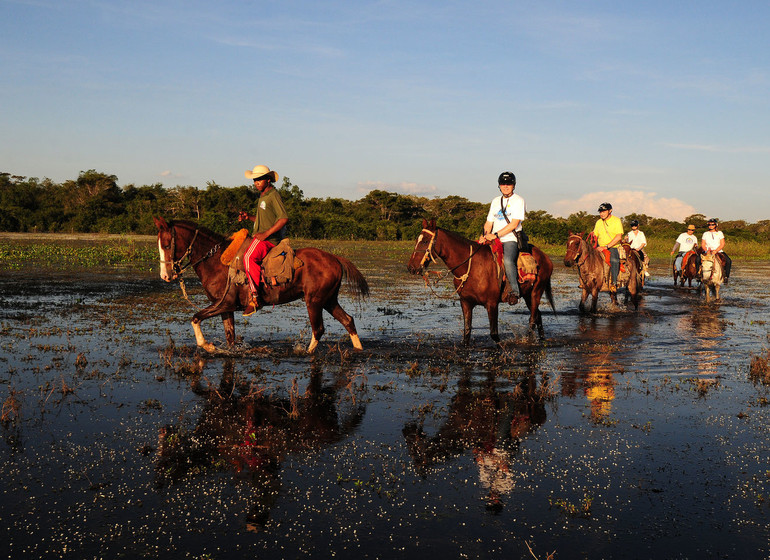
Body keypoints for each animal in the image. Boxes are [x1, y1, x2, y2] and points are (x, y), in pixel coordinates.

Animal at [154, 217, 368, 352]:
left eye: (167, 245)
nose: (165, 275)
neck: (215, 260)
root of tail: (335, 258)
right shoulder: (225, 308)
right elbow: (230, 336)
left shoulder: (224, 304)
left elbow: (195, 318)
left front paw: (207, 345)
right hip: (328, 299)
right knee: (348, 321)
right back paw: (358, 349)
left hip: (314, 301)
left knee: (319, 329)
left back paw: (306, 353)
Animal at [404, 218, 556, 342]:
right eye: (417, 240)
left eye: (425, 241)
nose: (411, 267)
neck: (471, 267)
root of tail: (545, 257)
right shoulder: (465, 303)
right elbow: (467, 332)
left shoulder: (492, 304)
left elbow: (494, 334)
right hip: (527, 294)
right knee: (538, 315)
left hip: (536, 292)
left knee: (532, 319)